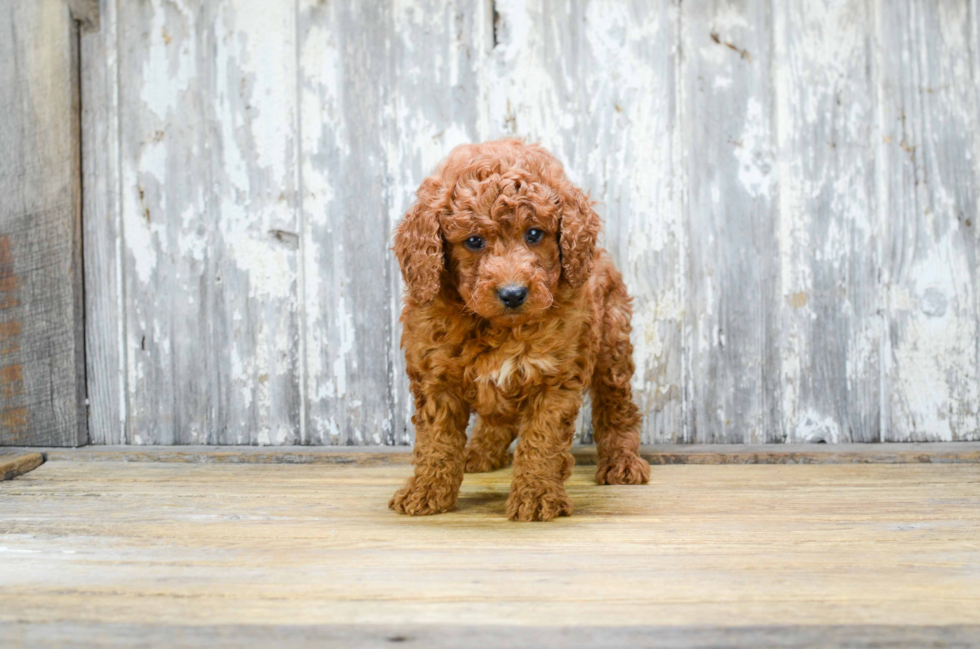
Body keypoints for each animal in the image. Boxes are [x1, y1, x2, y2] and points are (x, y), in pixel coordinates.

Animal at [390, 138, 652, 520]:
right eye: (473, 241)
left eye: (534, 234)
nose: (513, 294)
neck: (499, 328)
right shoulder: (435, 376)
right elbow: (436, 440)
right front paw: (426, 490)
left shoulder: (554, 377)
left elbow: (541, 440)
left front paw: (537, 495)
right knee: (498, 418)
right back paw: (480, 452)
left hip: (612, 345)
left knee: (617, 407)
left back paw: (622, 462)